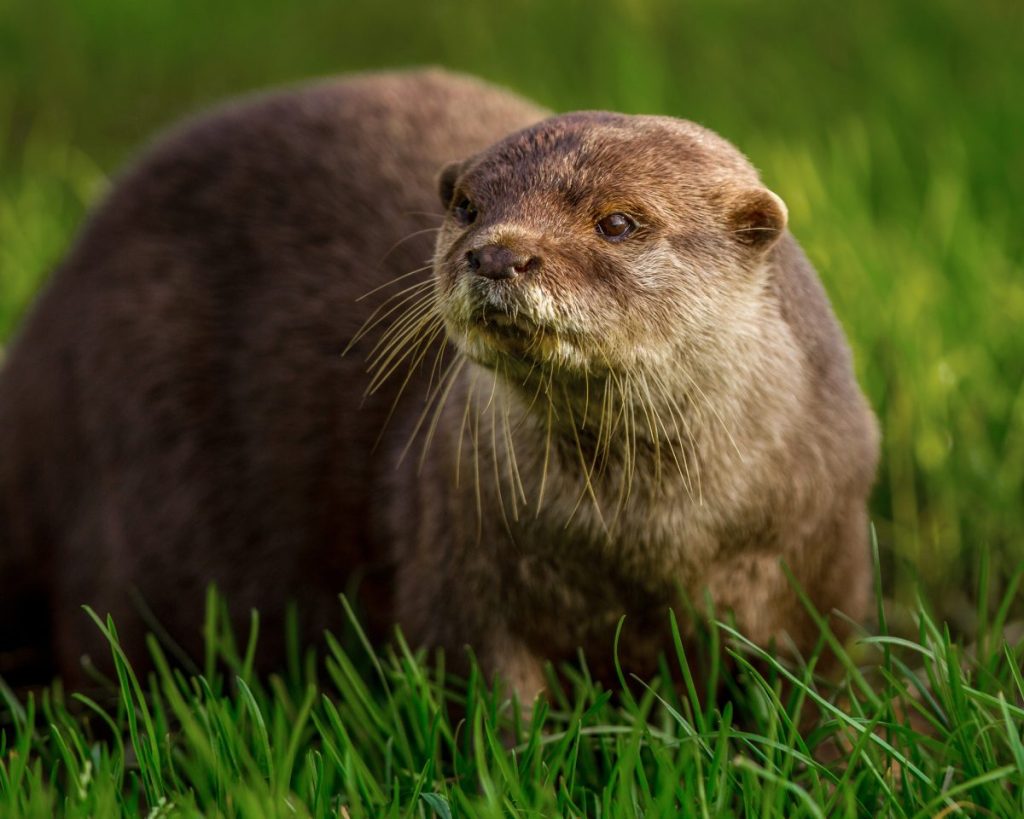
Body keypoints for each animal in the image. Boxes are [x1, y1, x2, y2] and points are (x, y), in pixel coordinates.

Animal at [2, 68, 880, 696]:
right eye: (466, 205)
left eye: (619, 222)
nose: (497, 252)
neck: (648, 537)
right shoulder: (454, 556)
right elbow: (491, 698)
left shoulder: (828, 555)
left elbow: (828, 685)